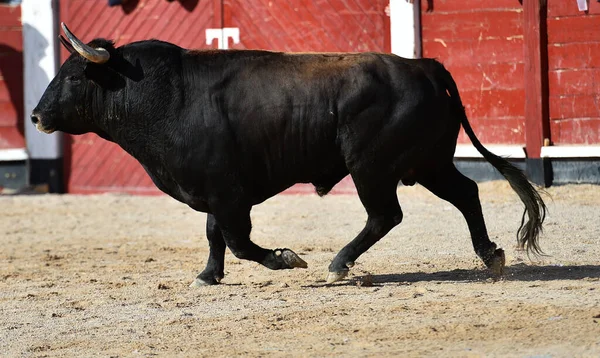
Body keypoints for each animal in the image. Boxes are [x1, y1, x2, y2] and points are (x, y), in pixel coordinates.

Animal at [34, 23, 548, 286]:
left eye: (74, 76)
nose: (37, 117)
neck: (167, 96)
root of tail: (426, 65)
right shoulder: (215, 189)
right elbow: (214, 236)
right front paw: (208, 276)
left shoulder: (228, 194)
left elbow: (238, 240)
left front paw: (285, 258)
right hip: (428, 162)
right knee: (465, 194)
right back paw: (491, 256)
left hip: (372, 167)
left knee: (386, 214)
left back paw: (339, 265)